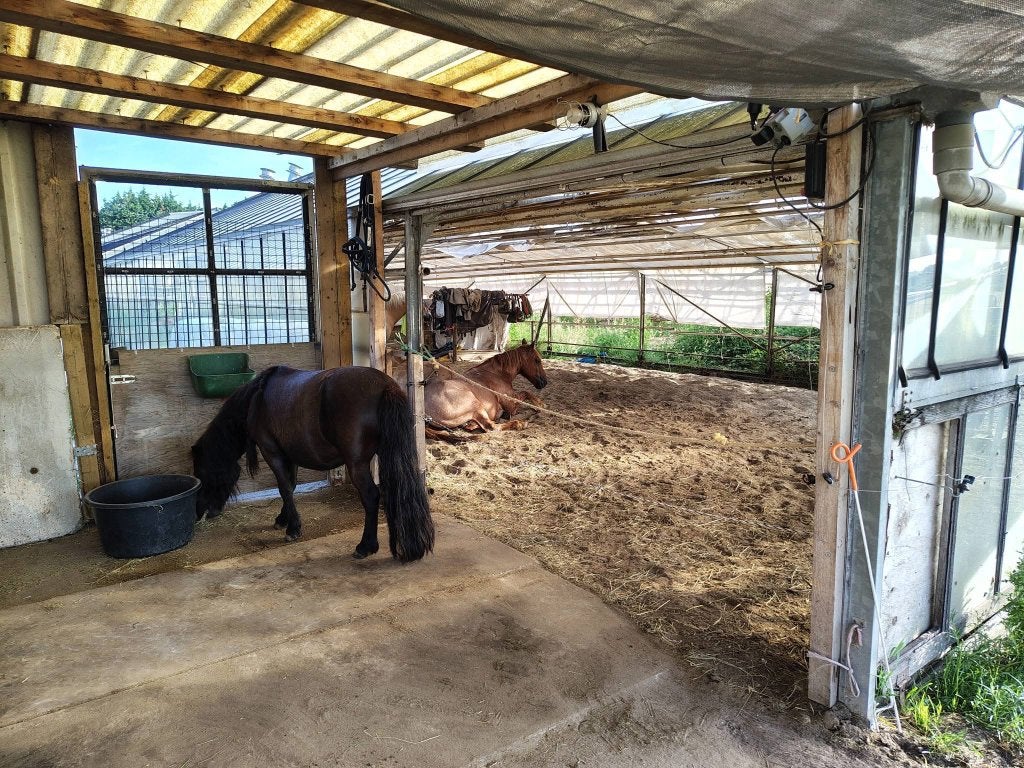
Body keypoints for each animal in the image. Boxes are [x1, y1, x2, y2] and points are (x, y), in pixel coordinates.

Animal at [191, 365, 434, 562]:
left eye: (202, 472)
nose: (201, 512)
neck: (256, 400)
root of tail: (385, 386)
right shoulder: (290, 456)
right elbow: (290, 487)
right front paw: (283, 519)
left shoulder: (272, 453)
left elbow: (284, 487)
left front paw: (293, 528)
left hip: (356, 464)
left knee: (371, 496)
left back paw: (365, 547)